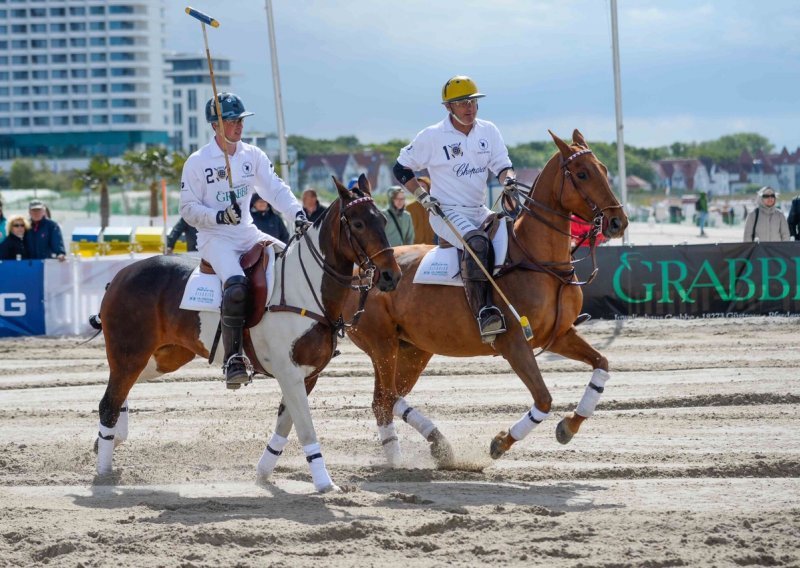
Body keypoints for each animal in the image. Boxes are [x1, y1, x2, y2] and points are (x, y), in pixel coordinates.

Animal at [94, 175, 400, 490]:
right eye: (358, 224)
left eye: (382, 219)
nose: (391, 276)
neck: (305, 288)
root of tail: (118, 277)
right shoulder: (289, 373)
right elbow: (306, 428)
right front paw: (325, 483)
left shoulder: (307, 375)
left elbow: (286, 424)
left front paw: (263, 471)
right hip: (130, 354)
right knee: (109, 402)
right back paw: (104, 472)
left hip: (164, 357)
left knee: (122, 391)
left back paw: (115, 438)